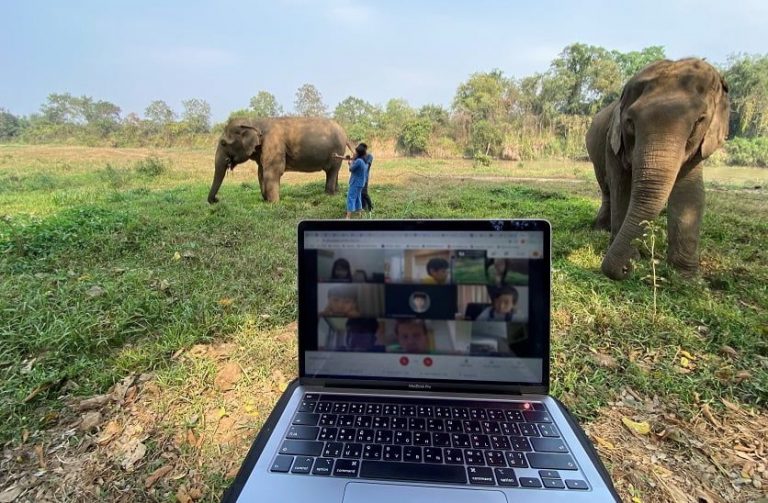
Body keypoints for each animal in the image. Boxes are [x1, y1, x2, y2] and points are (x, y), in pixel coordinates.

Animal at [210, 117, 354, 204]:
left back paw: (328, 196)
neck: (255, 121)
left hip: (337, 150)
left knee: (332, 171)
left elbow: (273, 172)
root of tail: (345, 133)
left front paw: (273, 203)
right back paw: (336, 193)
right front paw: (266, 200)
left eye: (223, 143)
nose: (217, 199)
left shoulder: (274, 144)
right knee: (333, 172)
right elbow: (261, 172)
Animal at [584, 59, 728, 282]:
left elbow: (690, 192)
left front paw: (685, 277)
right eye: (630, 122)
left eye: (699, 120)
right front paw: (633, 257)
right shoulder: (612, 140)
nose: (626, 269)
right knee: (607, 188)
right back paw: (601, 230)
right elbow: (621, 186)